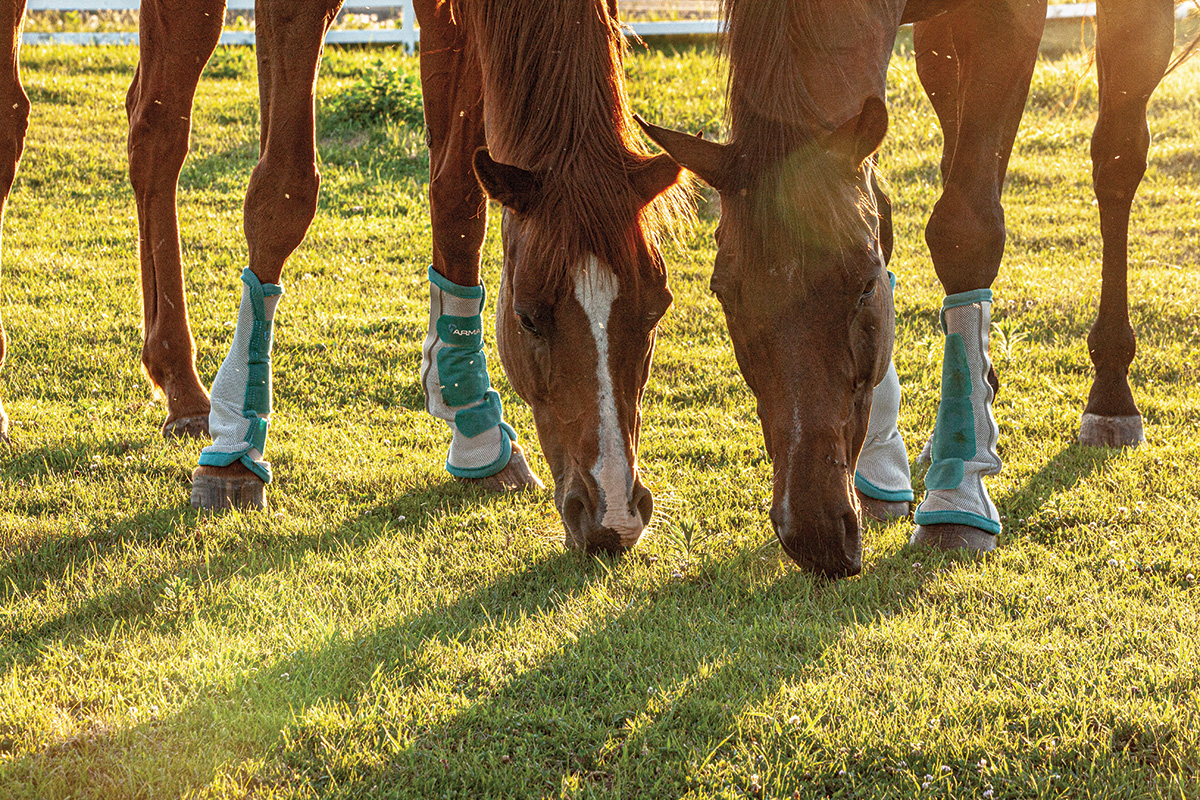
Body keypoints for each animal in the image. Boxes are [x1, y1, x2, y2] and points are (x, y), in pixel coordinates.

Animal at [633, 0, 1176, 575]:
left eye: (865, 287)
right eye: (723, 292)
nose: (814, 532)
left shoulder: (1009, 17)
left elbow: (965, 229)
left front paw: (959, 496)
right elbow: (886, 211)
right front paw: (882, 467)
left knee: (1116, 160)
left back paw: (1111, 393)